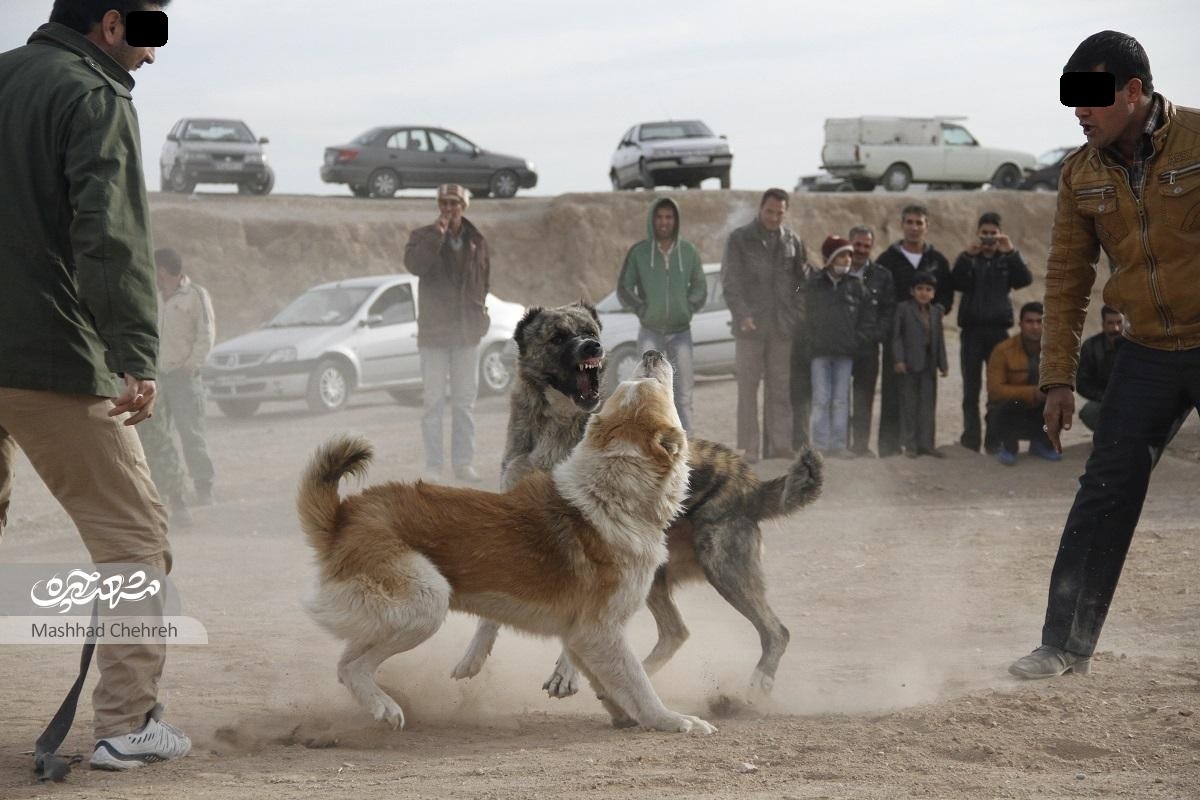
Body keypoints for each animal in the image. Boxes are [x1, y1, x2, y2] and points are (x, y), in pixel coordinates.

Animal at [298, 350, 710, 734]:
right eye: (645, 386)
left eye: (634, 385)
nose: (652, 354)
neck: (611, 494)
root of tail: (342, 517)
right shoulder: (601, 632)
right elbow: (639, 685)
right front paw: (674, 721)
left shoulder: (583, 639)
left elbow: (612, 687)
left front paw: (624, 716)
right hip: (427, 600)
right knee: (353, 665)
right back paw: (385, 708)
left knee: (344, 664)